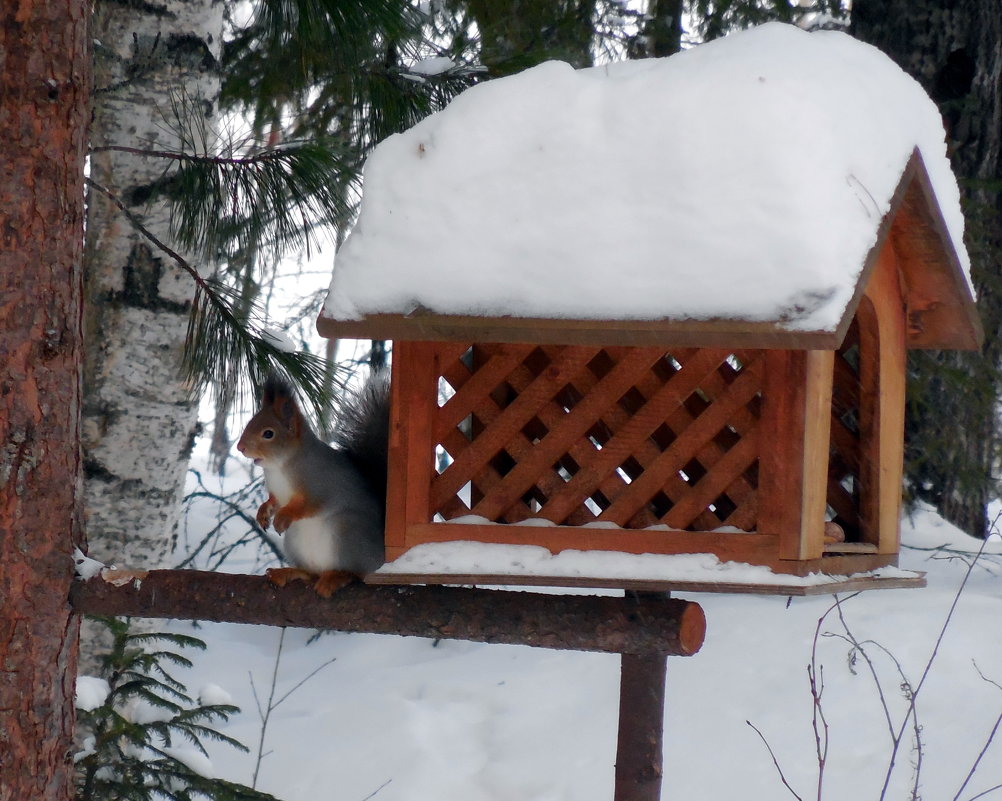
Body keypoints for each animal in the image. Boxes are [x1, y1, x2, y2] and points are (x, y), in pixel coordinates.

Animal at [236, 368, 388, 593]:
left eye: (268, 434)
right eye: (249, 423)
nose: (240, 447)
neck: (279, 467)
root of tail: (381, 558)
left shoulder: (319, 484)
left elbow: (308, 505)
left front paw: (284, 516)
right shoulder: (277, 491)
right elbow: (273, 501)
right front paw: (263, 512)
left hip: (346, 532)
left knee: (355, 572)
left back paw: (337, 576)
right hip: (295, 542)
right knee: (311, 573)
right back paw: (290, 572)